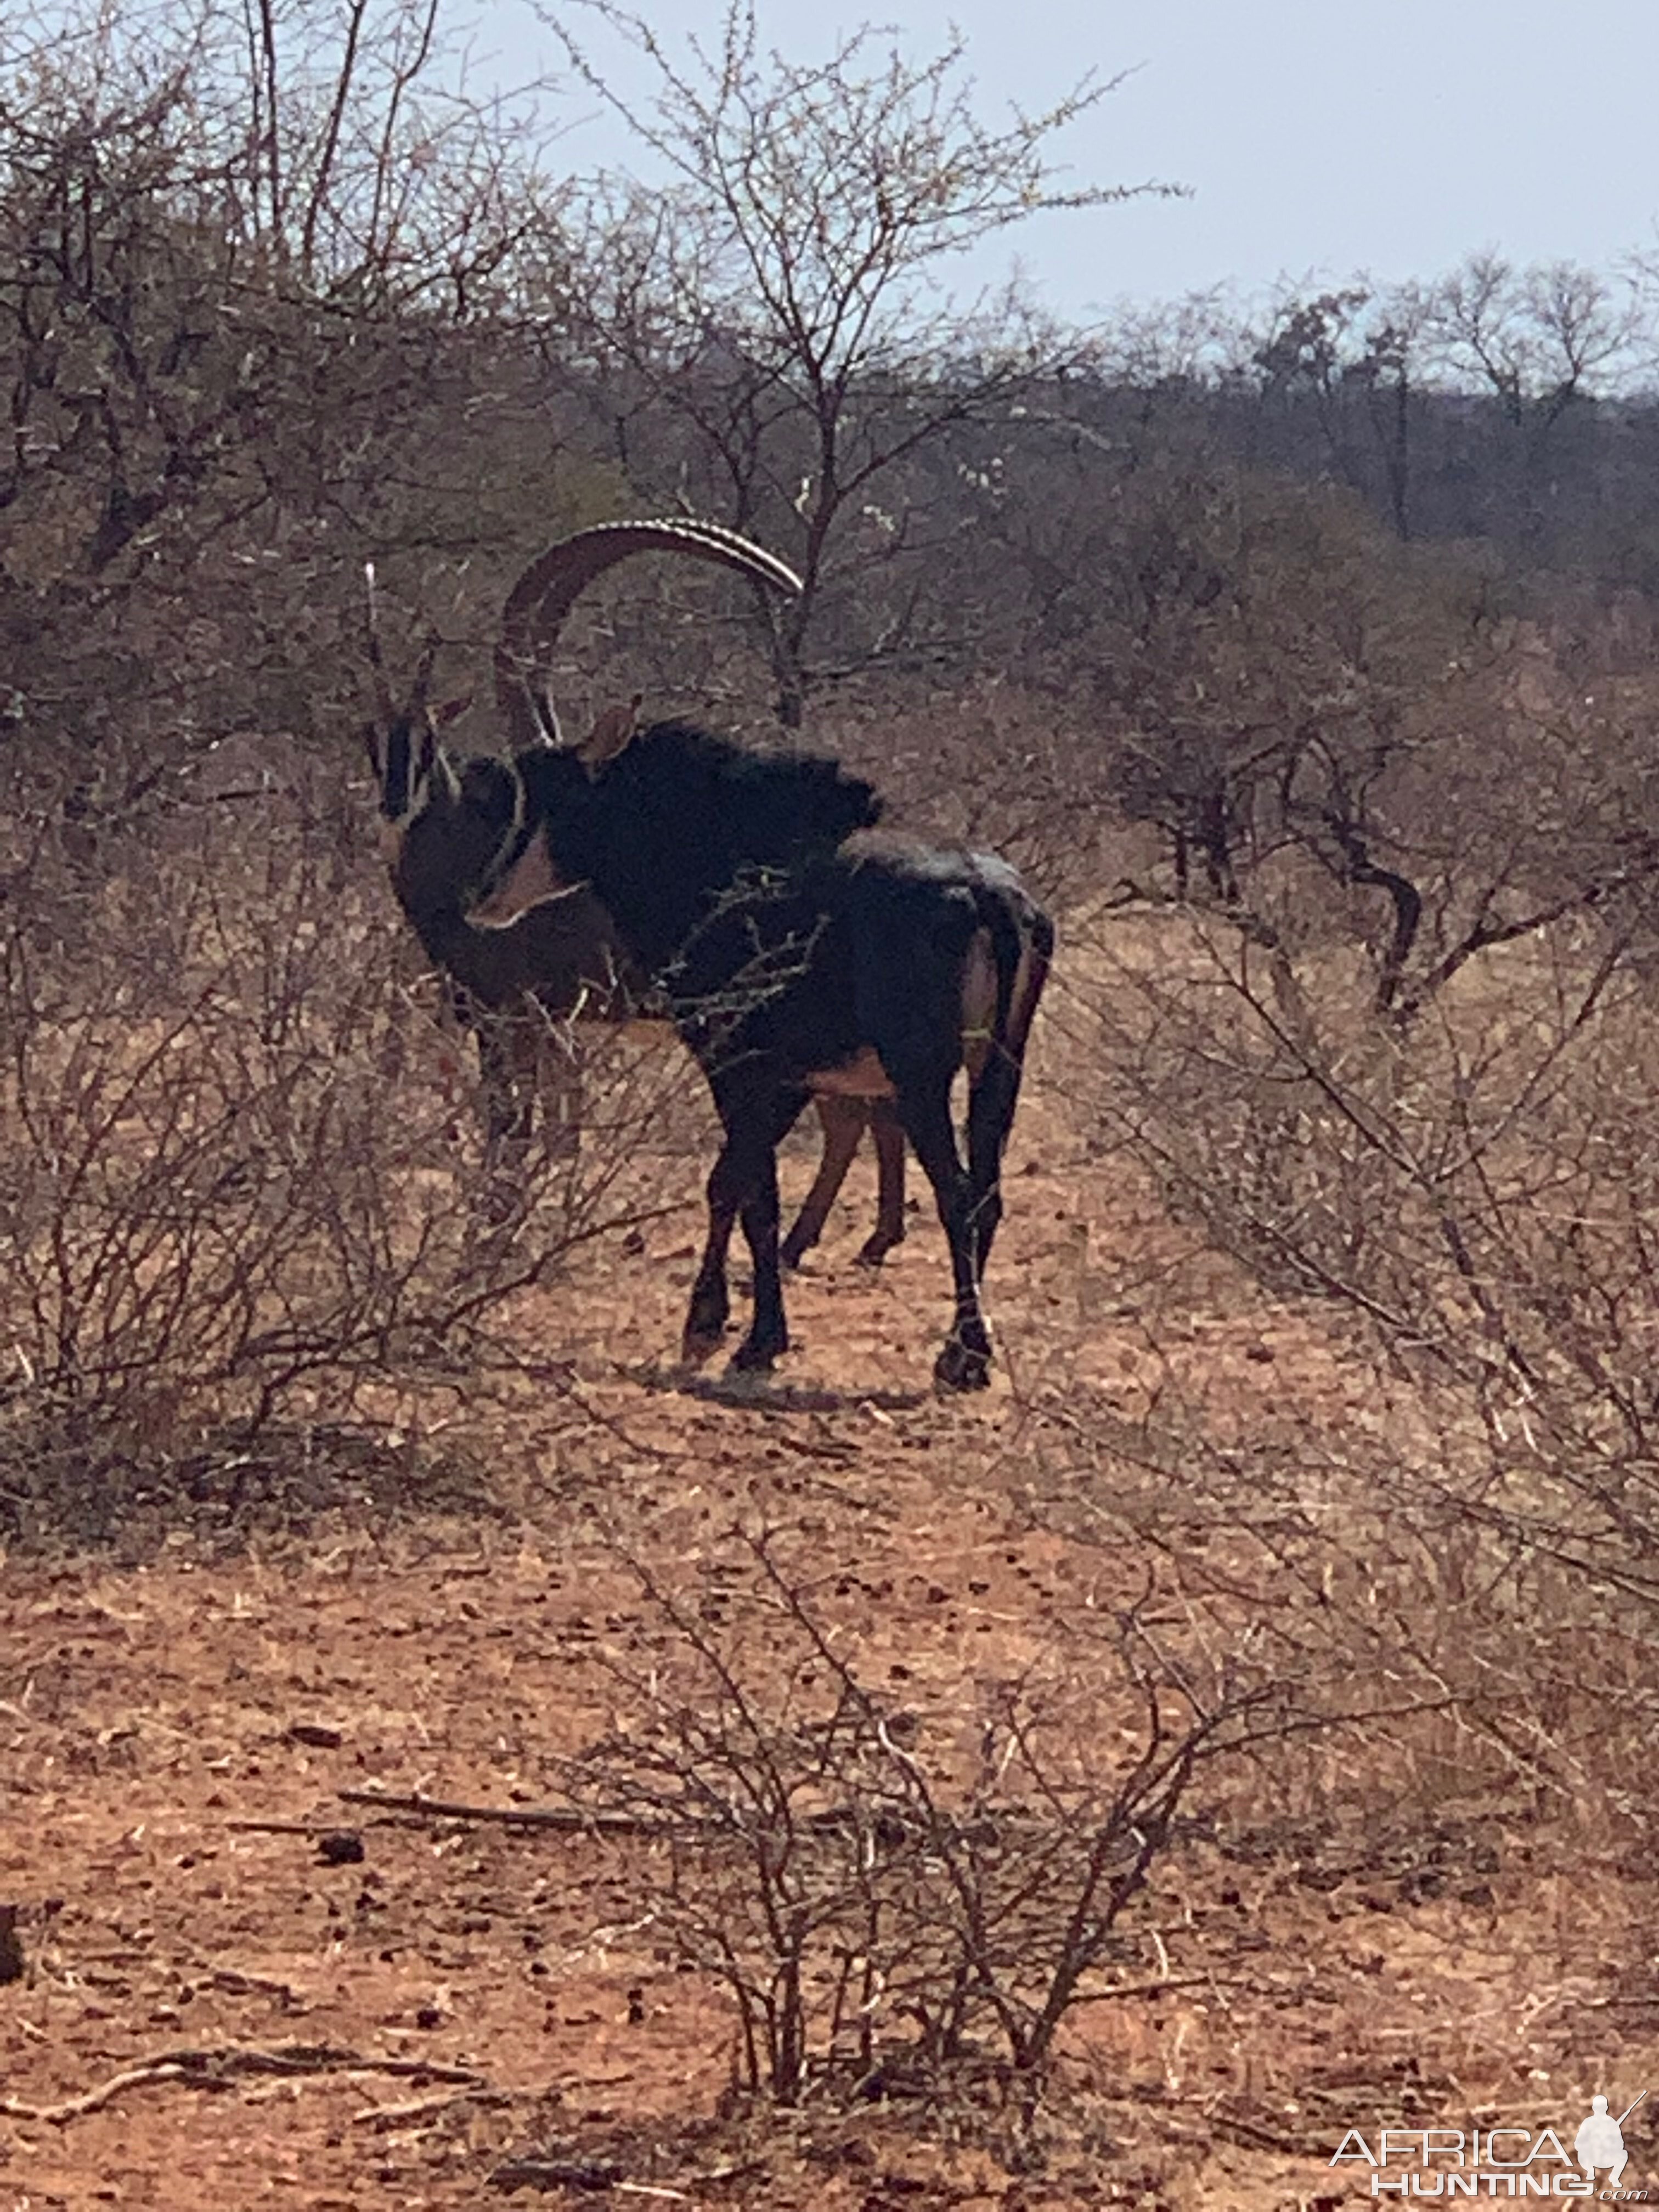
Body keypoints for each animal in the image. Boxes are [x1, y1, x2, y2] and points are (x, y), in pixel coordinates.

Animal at [365, 509, 911, 1256]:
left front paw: (492, 1235)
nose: (394, 808)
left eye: (427, 751)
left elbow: (510, 1124)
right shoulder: (521, 1016)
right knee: (864, 1111)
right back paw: (855, 1235)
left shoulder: (510, 1012)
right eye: (372, 743)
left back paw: (826, 1237)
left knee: (855, 1113)